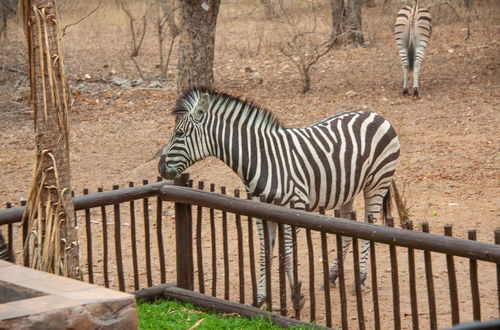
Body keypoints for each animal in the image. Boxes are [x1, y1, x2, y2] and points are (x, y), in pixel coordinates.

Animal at [158, 88, 400, 310]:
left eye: (179, 134)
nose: (160, 168)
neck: (262, 159)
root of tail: (376, 114)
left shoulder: (295, 207)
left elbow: (287, 255)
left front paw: (297, 295)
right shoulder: (261, 213)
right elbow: (265, 254)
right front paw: (260, 299)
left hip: (377, 182)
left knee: (369, 227)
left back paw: (360, 281)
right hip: (347, 190)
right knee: (348, 232)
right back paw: (332, 277)